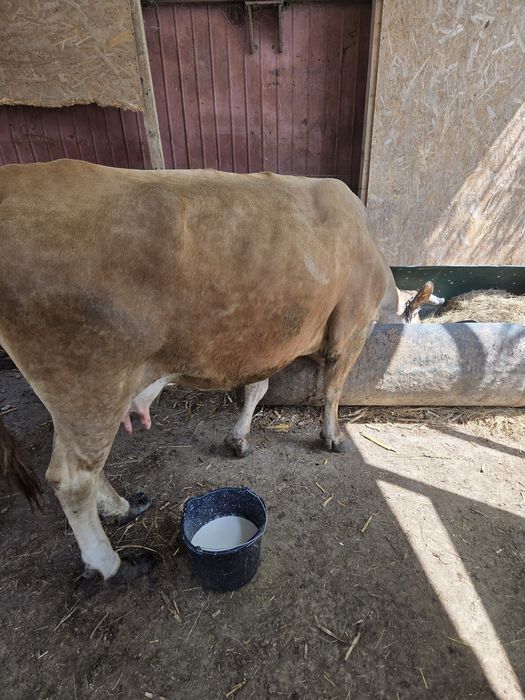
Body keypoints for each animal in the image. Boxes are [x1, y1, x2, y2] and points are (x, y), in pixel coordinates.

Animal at [0, 159, 441, 585]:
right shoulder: (350, 330)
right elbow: (333, 391)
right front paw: (332, 437)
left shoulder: (263, 342)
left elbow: (257, 389)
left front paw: (239, 439)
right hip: (91, 380)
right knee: (72, 480)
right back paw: (111, 565)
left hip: (81, 396)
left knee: (91, 468)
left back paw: (123, 507)